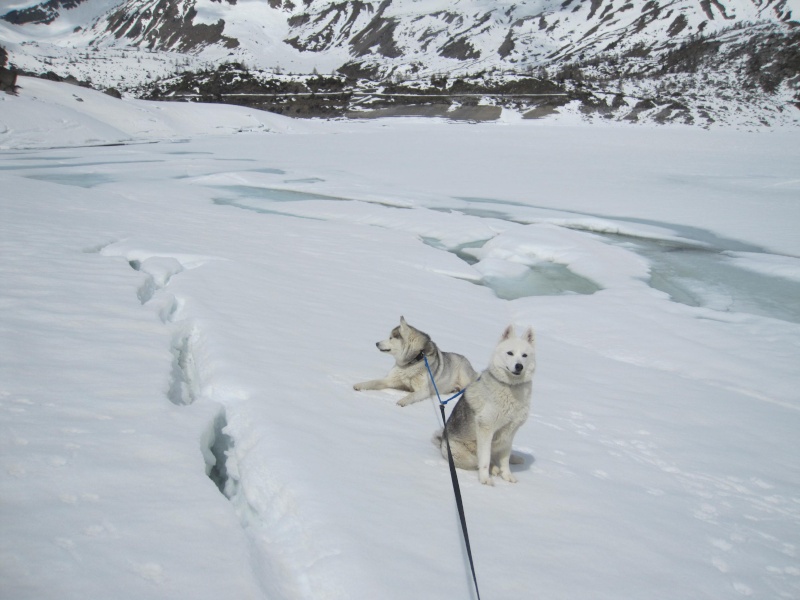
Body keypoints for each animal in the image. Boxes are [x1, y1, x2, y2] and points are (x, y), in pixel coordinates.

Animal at [434, 326, 536, 486]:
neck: (510, 387)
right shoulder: (486, 429)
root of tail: (442, 442)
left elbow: (505, 458)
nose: (519, 366)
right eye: (510, 353)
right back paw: (493, 469)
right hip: (463, 454)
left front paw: (507, 476)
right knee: (480, 460)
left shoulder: (510, 432)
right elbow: (485, 459)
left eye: (524, 355)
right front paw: (484, 479)